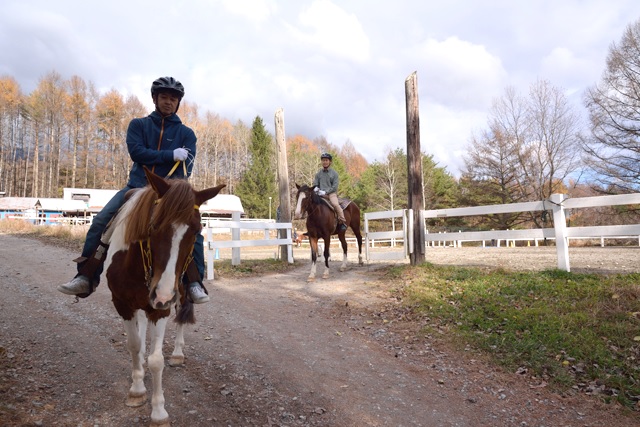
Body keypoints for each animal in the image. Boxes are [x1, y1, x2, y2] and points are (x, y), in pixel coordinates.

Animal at [104, 168, 225, 427]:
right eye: (153, 225)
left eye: (197, 231)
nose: (162, 293)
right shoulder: (123, 304)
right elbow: (134, 346)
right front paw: (137, 390)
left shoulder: (160, 308)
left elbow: (156, 360)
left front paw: (159, 412)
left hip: (180, 293)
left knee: (181, 316)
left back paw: (178, 353)